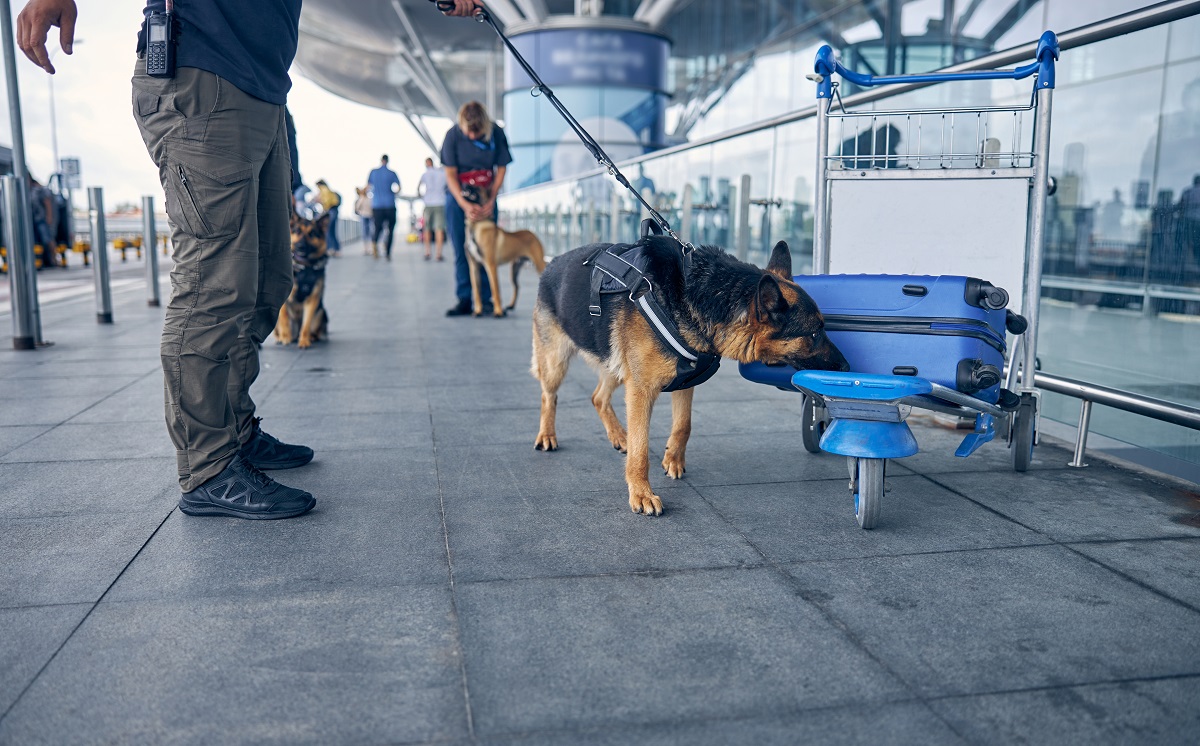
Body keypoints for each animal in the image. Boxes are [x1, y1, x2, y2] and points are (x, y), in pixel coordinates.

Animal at [272, 212, 328, 350]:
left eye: (312, 233)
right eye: (297, 231)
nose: (301, 246)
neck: (304, 268)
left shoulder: (312, 300)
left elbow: (306, 324)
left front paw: (304, 341)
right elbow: (284, 319)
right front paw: (285, 337)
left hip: (321, 312)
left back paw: (311, 337)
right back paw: (280, 338)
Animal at [530, 236, 849, 518]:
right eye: (814, 333)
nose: (846, 367)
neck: (694, 295)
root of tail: (553, 262)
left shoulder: (685, 381)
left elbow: (684, 425)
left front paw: (673, 458)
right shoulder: (641, 390)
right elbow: (641, 449)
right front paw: (641, 493)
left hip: (616, 366)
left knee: (598, 397)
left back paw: (619, 435)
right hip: (558, 362)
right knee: (549, 395)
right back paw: (547, 435)